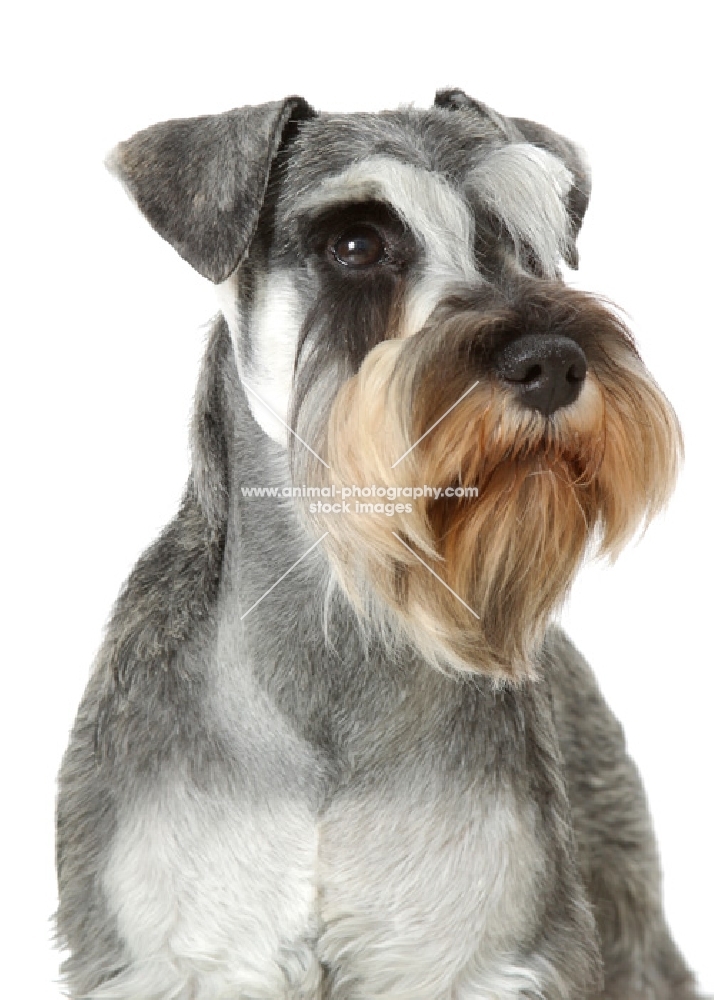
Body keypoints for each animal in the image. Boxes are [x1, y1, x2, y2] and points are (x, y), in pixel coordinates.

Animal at [57, 90, 700, 996]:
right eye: (356, 244)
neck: (337, 633)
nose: (554, 361)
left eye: (530, 240)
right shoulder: (175, 958)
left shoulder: (472, 956)